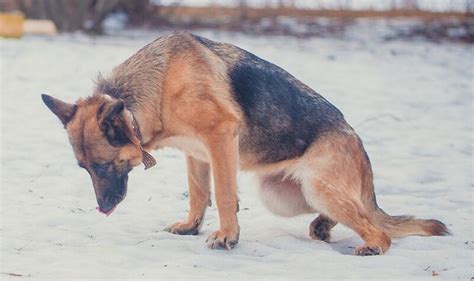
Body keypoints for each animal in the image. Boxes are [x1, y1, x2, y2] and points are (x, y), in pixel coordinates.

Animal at [41, 31, 448, 254]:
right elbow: (198, 193)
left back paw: (373, 244)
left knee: (375, 226)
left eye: (103, 166)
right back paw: (323, 227)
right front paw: (192, 226)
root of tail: (358, 143)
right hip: (283, 195)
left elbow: (222, 193)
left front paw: (227, 236)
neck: (157, 86)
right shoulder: (196, 153)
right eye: (84, 168)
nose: (103, 209)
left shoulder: (219, 138)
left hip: (317, 186)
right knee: (352, 214)